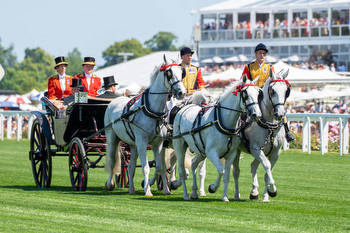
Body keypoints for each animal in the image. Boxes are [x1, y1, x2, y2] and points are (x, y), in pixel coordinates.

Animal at [104, 55, 186, 197]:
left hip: (133, 144)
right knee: (112, 159)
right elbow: (146, 166)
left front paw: (166, 189)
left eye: (182, 72)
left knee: (130, 166)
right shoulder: (142, 141)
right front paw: (147, 190)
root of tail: (114, 101)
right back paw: (110, 184)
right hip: (112, 137)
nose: (181, 92)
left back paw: (131, 188)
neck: (152, 110)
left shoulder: (158, 143)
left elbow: (160, 166)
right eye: (169, 73)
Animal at [232, 68, 292, 202]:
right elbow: (267, 166)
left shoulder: (275, 152)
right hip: (238, 151)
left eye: (286, 91)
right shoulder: (255, 149)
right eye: (272, 91)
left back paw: (254, 192)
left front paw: (266, 195)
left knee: (253, 166)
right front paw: (273, 190)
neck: (270, 124)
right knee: (236, 171)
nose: (280, 114)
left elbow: (267, 172)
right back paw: (237, 194)